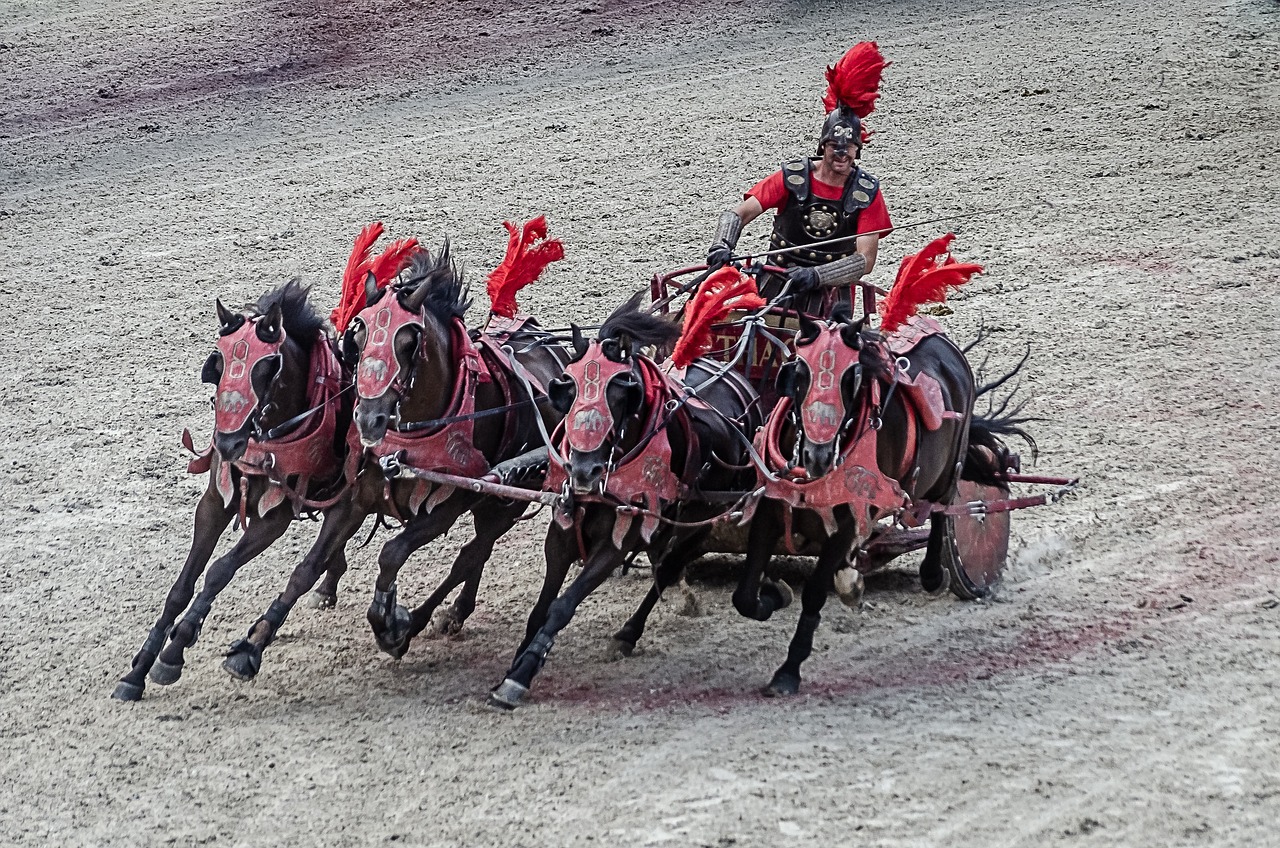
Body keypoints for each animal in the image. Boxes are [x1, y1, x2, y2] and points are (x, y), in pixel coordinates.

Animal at [108, 281, 350, 701]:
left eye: (267, 369)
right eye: (217, 366)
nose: (227, 442)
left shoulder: (274, 518)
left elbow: (219, 570)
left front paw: (174, 650)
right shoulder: (213, 503)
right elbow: (182, 586)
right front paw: (138, 670)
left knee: (310, 565)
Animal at [217, 242, 568, 681]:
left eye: (408, 342)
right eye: (358, 336)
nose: (368, 418)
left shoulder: (447, 505)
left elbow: (392, 553)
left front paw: (388, 621)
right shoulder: (354, 498)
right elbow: (307, 567)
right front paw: (252, 645)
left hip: (506, 498)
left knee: (472, 554)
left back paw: (426, 618)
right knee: (475, 554)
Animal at [488, 294, 768, 712]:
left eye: (623, 392)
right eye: (566, 388)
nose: (584, 470)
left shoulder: (616, 544)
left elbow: (561, 606)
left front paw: (520, 676)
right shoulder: (561, 533)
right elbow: (539, 610)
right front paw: (516, 665)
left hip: (704, 518)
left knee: (669, 568)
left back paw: (629, 633)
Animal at [732, 307, 1029, 696]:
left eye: (852, 377)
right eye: (799, 373)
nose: (817, 455)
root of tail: (941, 340)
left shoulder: (848, 520)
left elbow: (814, 593)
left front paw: (788, 671)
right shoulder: (771, 504)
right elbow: (744, 595)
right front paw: (775, 595)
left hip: (951, 465)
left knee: (941, 510)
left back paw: (933, 573)